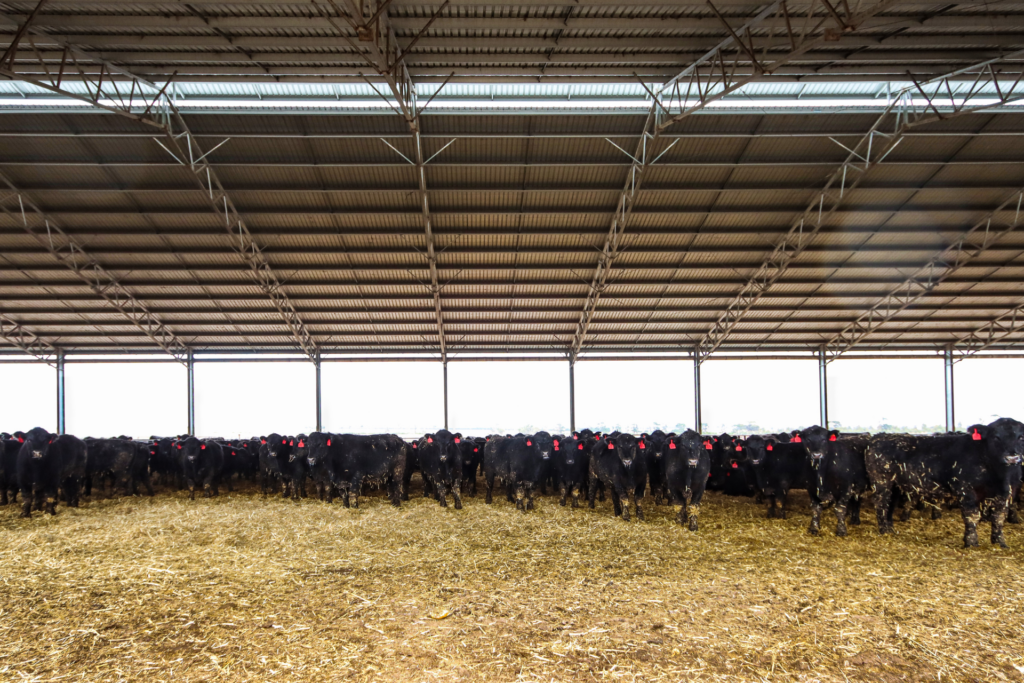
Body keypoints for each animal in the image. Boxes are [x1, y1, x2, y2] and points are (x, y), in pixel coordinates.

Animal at [864, 417, 1024, 548]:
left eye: (1021, 437)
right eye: (996, 437)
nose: (1012, 457)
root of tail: (879, 436)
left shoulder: (1005, 492)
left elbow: (998, 517)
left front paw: (1000, 543)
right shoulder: (965, 490)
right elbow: (972, 516)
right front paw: (971, 543)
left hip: (895, 484)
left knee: (890, 504)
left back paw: (890, 528)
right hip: (881, 481)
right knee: (881, 503)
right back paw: (884, 530)